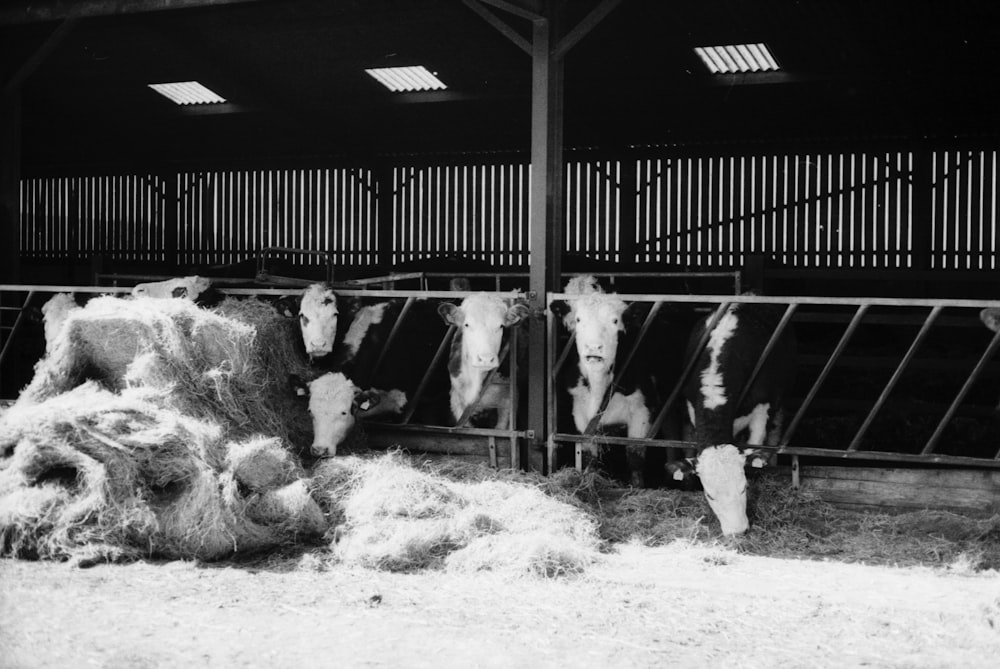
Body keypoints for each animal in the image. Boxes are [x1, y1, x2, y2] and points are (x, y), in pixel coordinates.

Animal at [668, 300, 800, 536]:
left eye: (743, 487)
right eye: (709, 495)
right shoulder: (692, 408)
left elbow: (756, 446)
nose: (736, 532)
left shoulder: (762, 406)